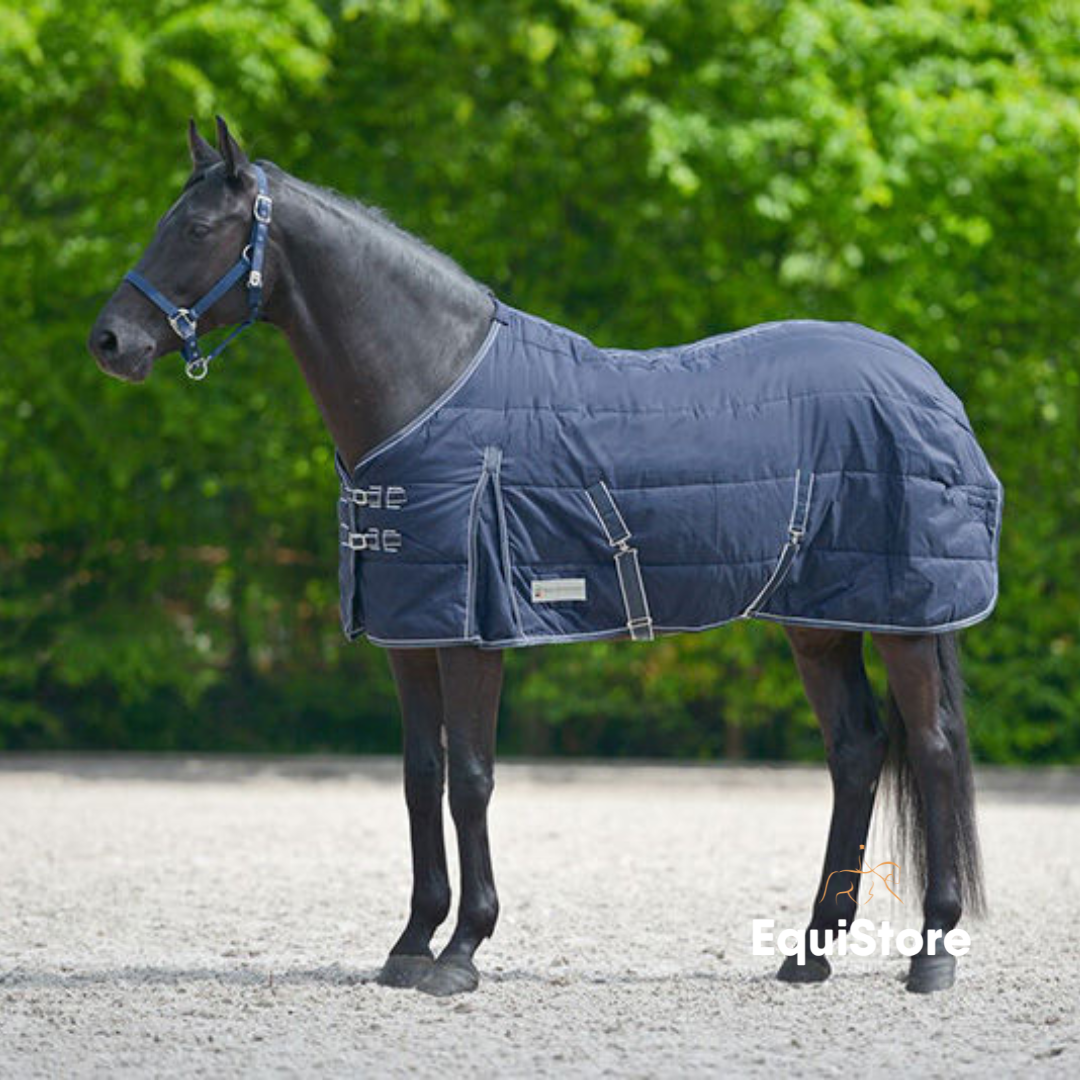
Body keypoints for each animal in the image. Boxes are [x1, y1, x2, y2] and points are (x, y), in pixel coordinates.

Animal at [89, 118, 995, 998]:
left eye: (198, 228)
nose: (110, 342)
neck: (429, 390)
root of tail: (930, 388)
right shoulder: (410, 636)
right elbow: (420, 776)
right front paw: (411, 945)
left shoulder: (472, 635)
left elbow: (471, 780)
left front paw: (462, 951)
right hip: (819, 622)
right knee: (857, 752)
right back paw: (810, 952)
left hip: (907, 621)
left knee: (934, 750)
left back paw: (931, 954)